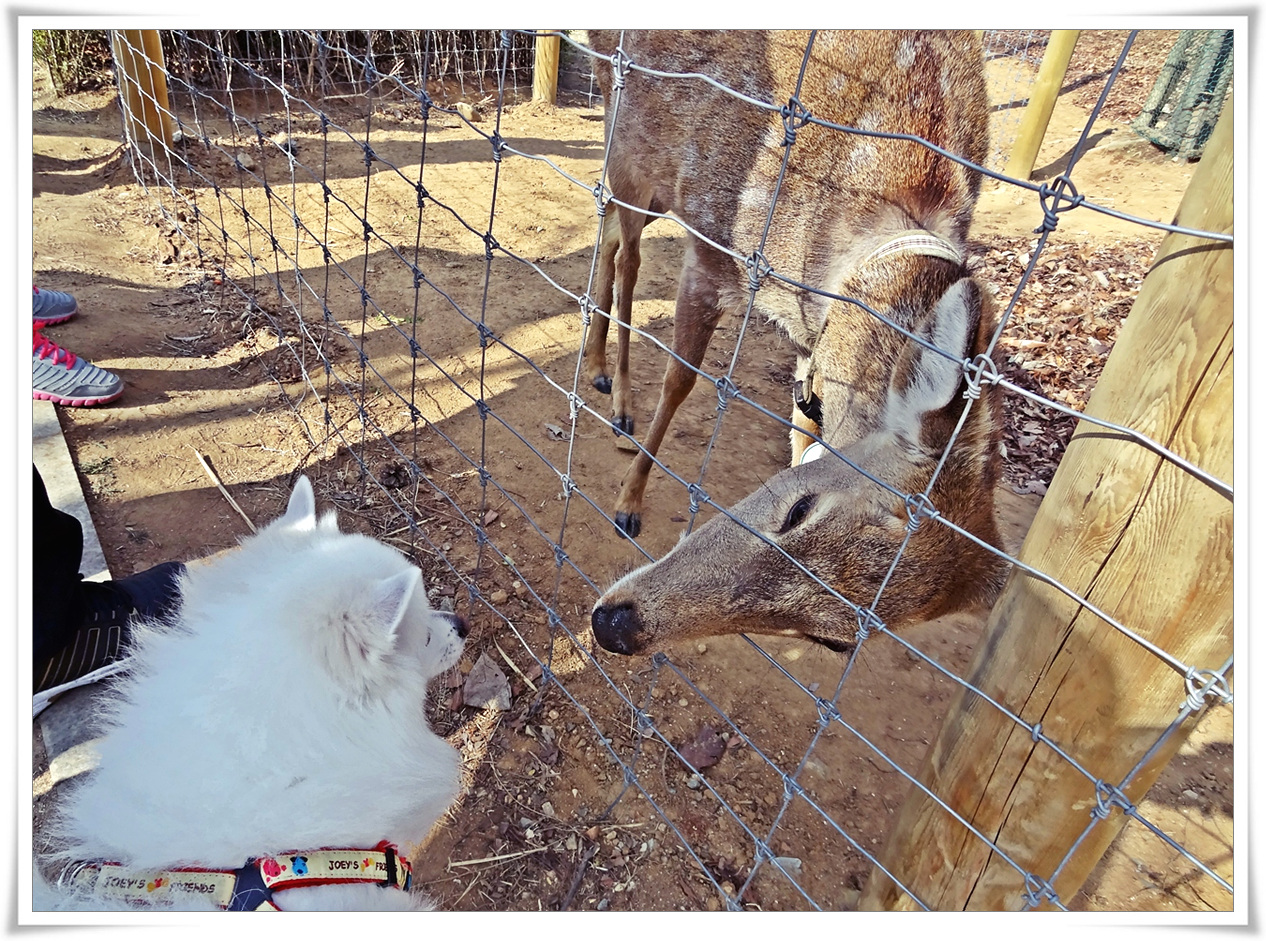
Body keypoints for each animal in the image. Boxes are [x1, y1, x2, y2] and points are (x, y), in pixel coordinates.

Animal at [584, 30, 1007, 655]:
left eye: (834, 642)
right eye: (800, 509)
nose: (615, 625)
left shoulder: (813, 343)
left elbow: (803, 422)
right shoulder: (711, 246)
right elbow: (681, 378)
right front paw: (628, 502)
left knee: (612, 232)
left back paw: (598, 370)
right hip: (630, 148)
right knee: (624, 250)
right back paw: (616, 401)